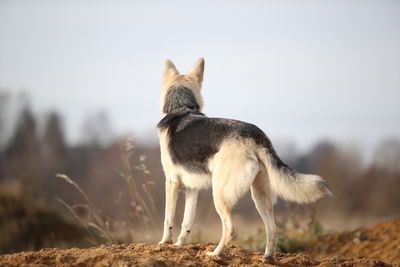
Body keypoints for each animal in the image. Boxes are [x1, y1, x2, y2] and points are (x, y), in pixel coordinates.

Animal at [156, 58, 332, 262]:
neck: (181, 109)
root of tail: (255, 135)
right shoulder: (193, 188)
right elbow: (187, 222)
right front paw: (180, 244)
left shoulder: (171, 182)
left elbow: (168, 218)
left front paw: (165, 243)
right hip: (260, 196)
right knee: (273, 229)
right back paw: (267, 259)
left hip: (219, 194)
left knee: (230, 229)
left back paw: (214, 254)